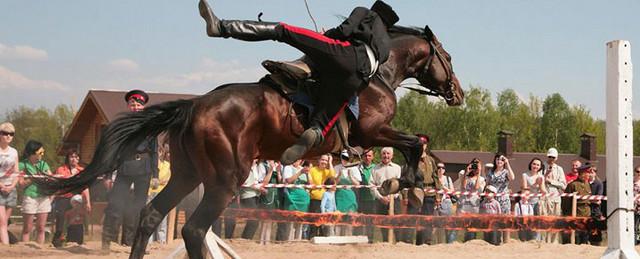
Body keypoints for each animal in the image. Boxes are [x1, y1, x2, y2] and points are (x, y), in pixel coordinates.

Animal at [36, 25, 460, 258]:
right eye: (448, 56)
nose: (456, 92)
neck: (378, 72)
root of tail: (192, 106)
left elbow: (414, 144)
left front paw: (403, 182)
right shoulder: (371, 131)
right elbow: (415, 143)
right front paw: (403, 181)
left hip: (187, 175)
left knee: (152, 215)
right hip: (226, 179)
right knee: (193, 230)